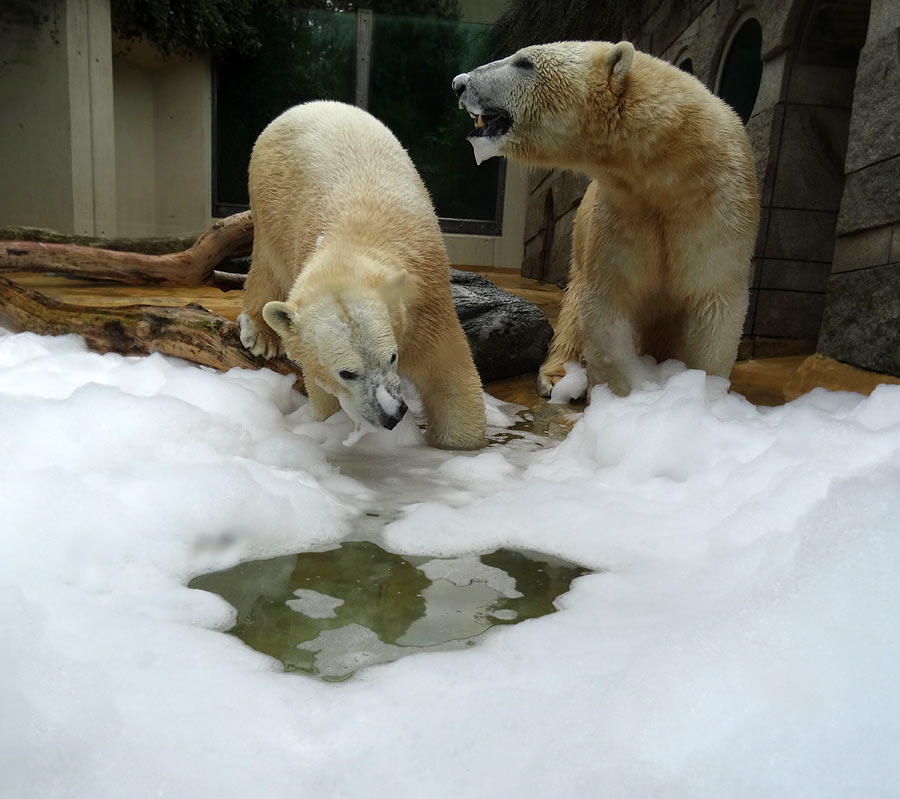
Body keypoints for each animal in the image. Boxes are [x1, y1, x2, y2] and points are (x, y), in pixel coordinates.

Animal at [239, 101, 486, 450]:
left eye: (392, 357)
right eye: (347, 372)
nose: (392, 414)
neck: (353, 240)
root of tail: (302, 107)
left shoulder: (425, 304)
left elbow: (448, 374)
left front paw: (458, 444)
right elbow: (324, 393)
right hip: (269, 197)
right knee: (268, 264)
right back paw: (261, 335)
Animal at [450, 40, 760, 396]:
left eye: (524, 62)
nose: (459, 83)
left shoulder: (716, 208)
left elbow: (712, 303)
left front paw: (699, 392)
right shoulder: (623, 212)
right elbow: (609, 303)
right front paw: (623, 396)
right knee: (572, 309)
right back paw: (557, 376)